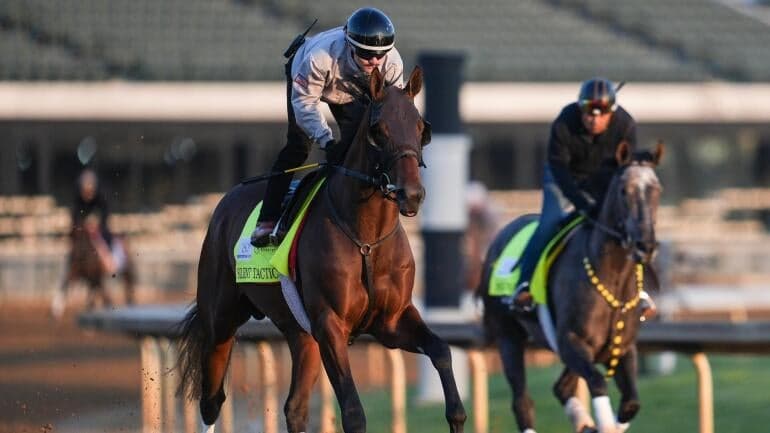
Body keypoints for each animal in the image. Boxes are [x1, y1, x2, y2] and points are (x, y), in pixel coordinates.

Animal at [176, 66, 467, 433]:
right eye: (378, 131)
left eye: (420, 128)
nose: (411, 194)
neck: (366, 240)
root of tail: (224, 203)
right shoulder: (330, 325)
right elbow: (354, 413)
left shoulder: (391, 321)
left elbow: (442, 351)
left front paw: (456, 414)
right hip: (220, 320)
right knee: (211, 400)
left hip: (301, 335)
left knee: (295, 407)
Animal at [478, 142, 664, 433]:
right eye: (624, 190)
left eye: (656, 190)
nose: (645, 245)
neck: (612, 279)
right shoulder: (571, 341)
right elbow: (597, 383)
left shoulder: (621, 348)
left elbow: (631, 402)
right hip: (507, 337)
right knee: (522, 403)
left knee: (561, 388)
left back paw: (584, 422)